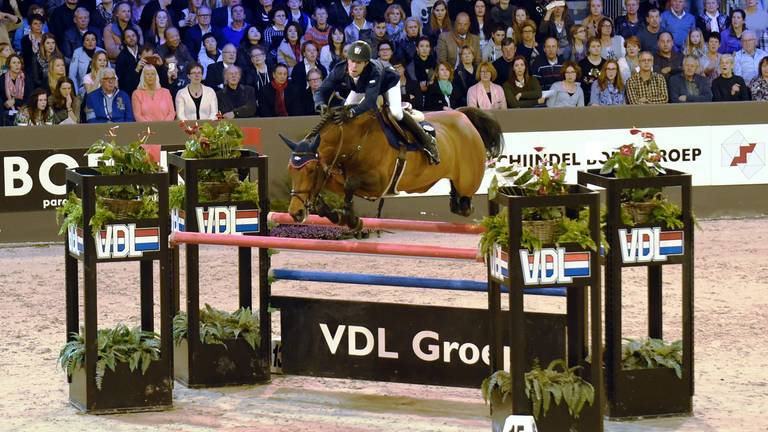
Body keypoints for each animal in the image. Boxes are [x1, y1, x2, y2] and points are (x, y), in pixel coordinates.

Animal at [280, 106, 500, 230]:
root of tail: (464, 117)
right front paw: (337, 215)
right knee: (458, 202)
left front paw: (351, 219)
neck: (355, 141)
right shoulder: (337, 179)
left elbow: (351, 184)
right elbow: (329, 193)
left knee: (465, 203)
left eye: (310, 170)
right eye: (290, 170)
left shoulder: (378, 185)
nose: (295, 213)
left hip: (468, 180)